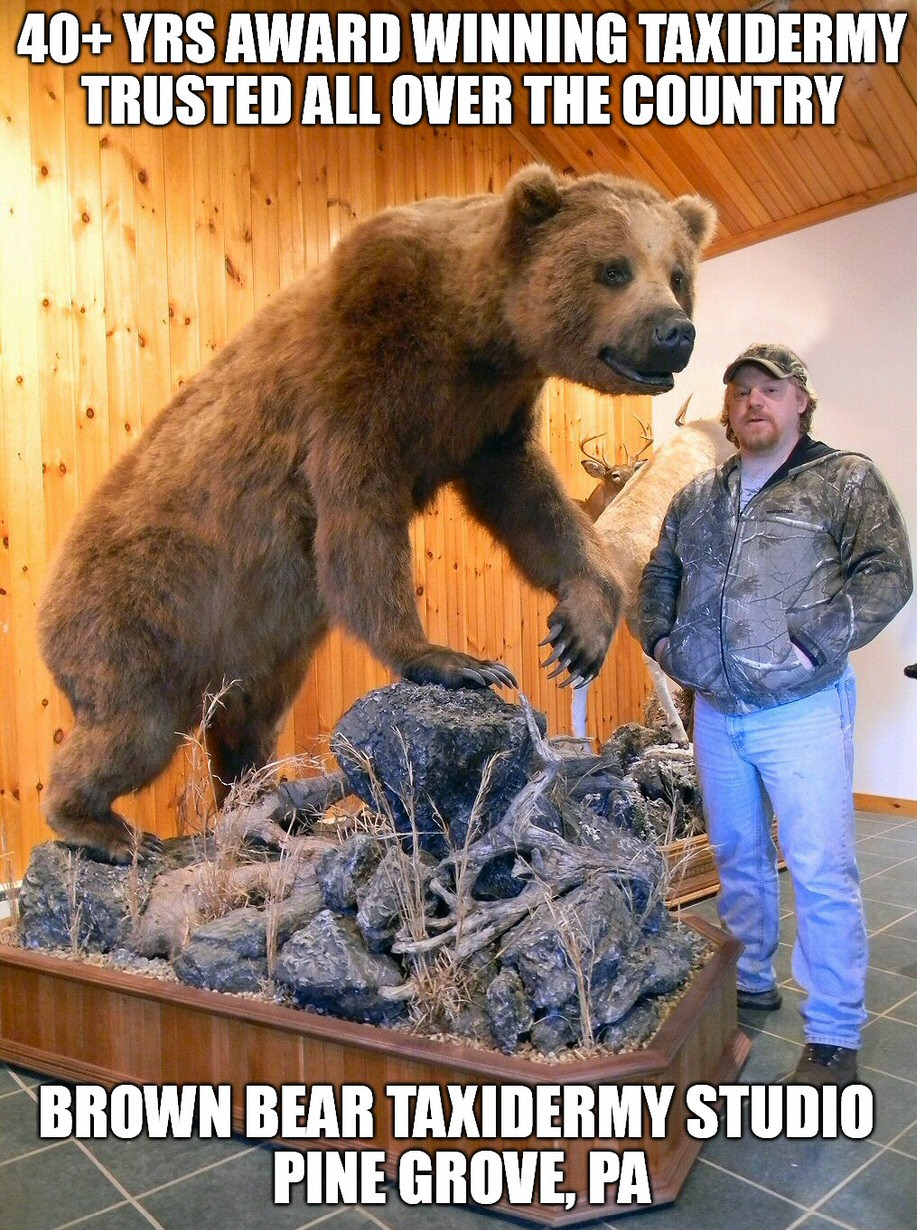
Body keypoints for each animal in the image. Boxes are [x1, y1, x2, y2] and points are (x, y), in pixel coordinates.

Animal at [38, 164, 716, 862]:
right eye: (613, 268)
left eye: (678, 274)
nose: (674, 331)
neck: (477, 335)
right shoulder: (362, 371)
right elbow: (358, 524)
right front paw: (456, 661)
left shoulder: (489, 420)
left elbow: (533, 507)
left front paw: (578, 629)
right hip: (142, 616)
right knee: (132, 730)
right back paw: (109, 830)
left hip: (256, 649)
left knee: (248, 720)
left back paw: (268, 805)